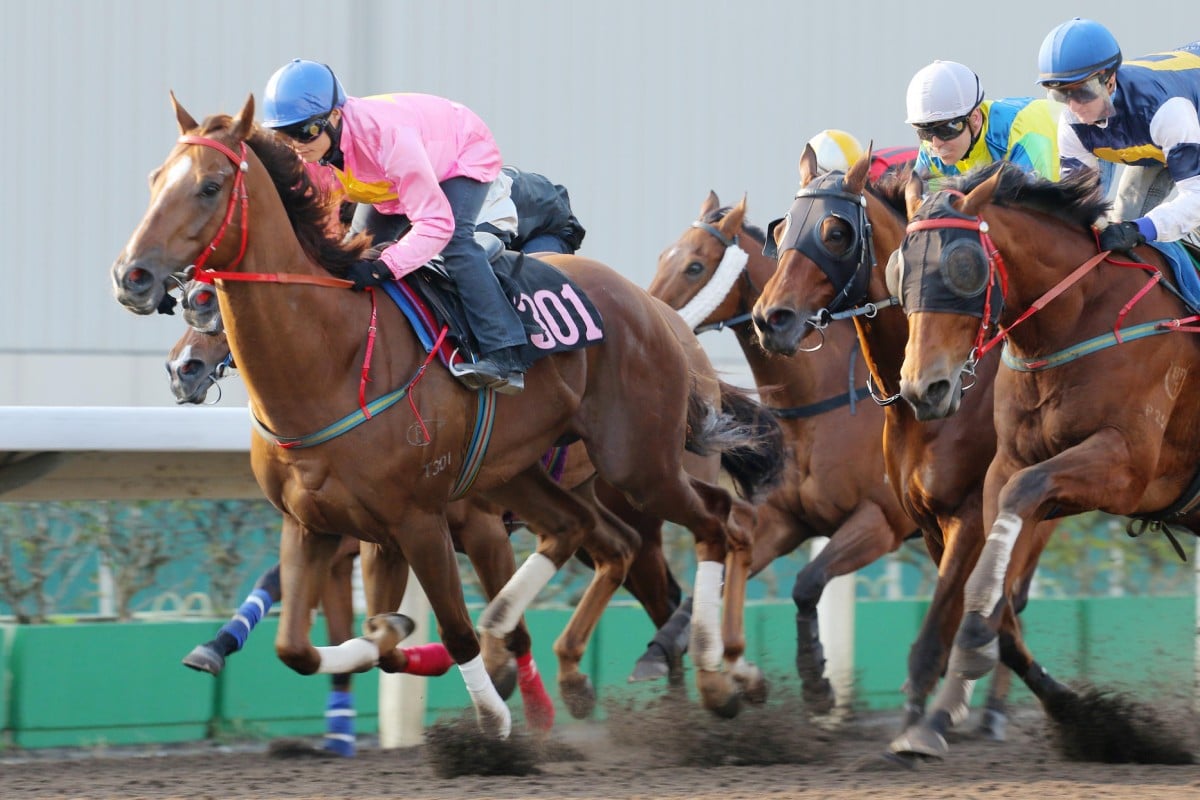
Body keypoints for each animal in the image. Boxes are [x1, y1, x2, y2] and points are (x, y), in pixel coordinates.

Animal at [112, 95, 777, 738]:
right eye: (154, 180)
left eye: (210, 186)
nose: (132, 276)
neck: (333, 361)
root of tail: (660, 316)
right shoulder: (320, 525)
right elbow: (306, 647)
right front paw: (386, 641)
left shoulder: (426, 521)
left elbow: (454, 633)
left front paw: (496, 717)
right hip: (526, 474)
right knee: (593, 534)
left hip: (638, 464)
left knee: (717, 525)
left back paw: (716, 679)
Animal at [648, 189, 916, 714]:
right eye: (663, 255)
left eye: (694, 265)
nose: (645, 313)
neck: (823, 402)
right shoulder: (786, 519)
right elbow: (715, 583)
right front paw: (665, 650)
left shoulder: (883, 521)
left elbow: (807, 582)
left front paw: (816, 680)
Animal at [753, 146, 1065, 762]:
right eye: (780, 233)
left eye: (835, 232)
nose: (771, 318)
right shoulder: (923, 519)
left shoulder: (962, 514)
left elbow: (954, 610)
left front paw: (922, 720)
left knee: (1013, 595)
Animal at [897, 160, 1195, 762]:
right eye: (902, 267)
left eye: (962, 268)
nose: (923, 389)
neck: (1077, 318)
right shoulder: (1008, 463)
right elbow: (994, 568)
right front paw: (940, 712)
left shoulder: (1126, 467)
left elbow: (1020, 503)